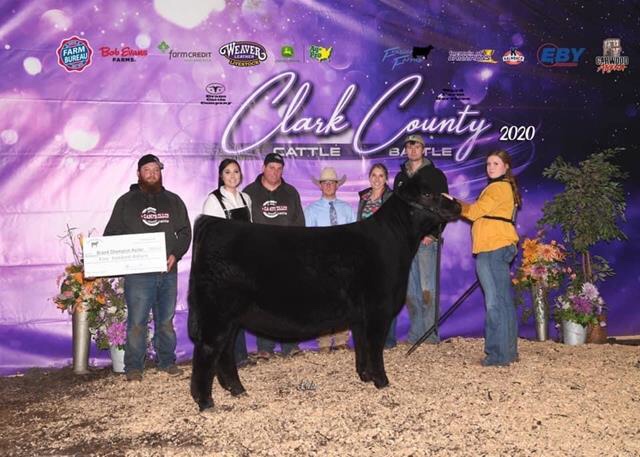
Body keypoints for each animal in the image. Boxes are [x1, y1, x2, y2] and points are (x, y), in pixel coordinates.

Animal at [187, 173, 461, 411]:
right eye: (427, 193)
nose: (458, 205)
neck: (394, 242)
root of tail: (214, 223)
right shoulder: (378, 309)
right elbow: (375, 347)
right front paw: (382, 381)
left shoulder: (361, 316)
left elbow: (362, 345)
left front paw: (365, 376)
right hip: (217, 314)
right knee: (208, 350)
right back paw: (206, 402)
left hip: (231, 317)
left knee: (225, 351)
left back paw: (237, 389)